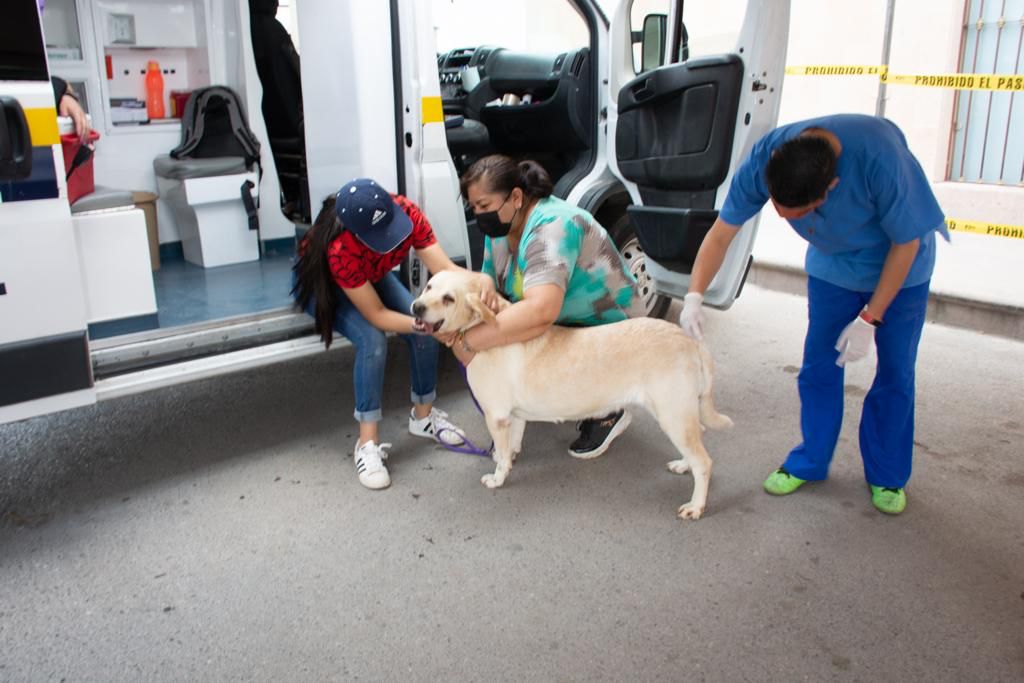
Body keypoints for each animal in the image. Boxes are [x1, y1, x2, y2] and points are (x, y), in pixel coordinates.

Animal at [411, 270, 733, 520]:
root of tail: (689, 340)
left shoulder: (497, 417)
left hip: (672, 415)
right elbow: (511, 447)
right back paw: (683, 465)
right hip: (678, 414)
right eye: (428, 287)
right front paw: (510, 458)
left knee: (704, 462)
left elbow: (501, 457)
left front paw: (498, 478)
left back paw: (696, 506)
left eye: (449, 298)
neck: (484, 327)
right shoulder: (513, 417)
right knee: (699, 440)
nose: (415, 307)